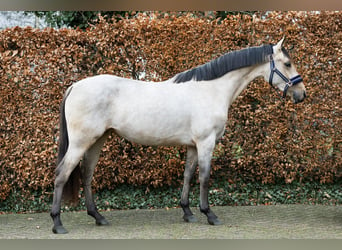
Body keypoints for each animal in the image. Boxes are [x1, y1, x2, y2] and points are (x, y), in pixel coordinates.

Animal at [50, 37, 308, 234]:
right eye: (287, 63)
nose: (301, 94)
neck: (211, 90)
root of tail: (74, 86)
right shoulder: (206, 143)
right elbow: (204, 177)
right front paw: (209, 214)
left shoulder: (193, 145)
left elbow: (187, 175)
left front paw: (187, 212)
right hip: (81, 142)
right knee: (62, 175)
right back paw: (58, 223)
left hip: (97, 140)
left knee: (86, 175)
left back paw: (98, 217)